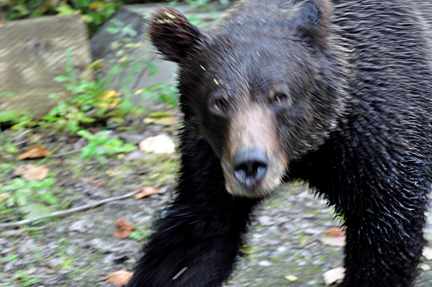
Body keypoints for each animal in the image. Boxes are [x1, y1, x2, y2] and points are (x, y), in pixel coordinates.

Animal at [126, 0, 432, 287]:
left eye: (280, 96)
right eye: (219, 101)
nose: (250, 164)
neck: (307, 150)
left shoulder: (376, 141)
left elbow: (384, 237)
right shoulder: (211, 158)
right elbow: (194, 241)